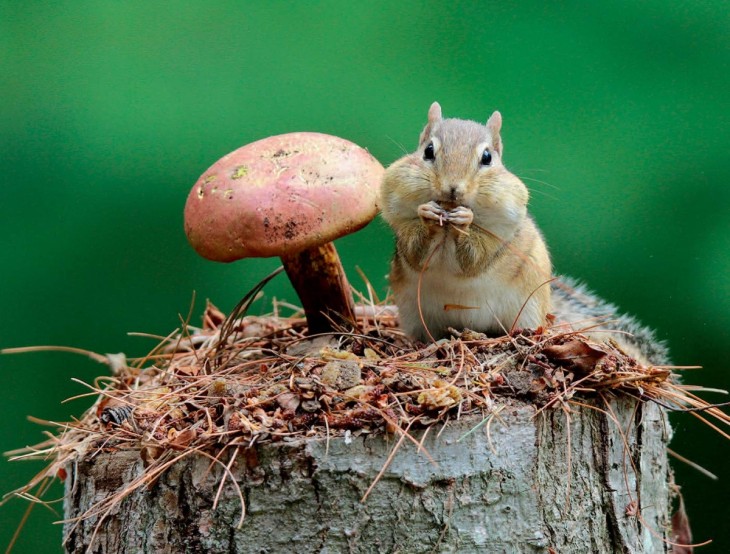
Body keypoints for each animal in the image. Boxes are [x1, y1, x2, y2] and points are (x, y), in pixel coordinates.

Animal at [380, 102, 668, 366]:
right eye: (428, 151)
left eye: (487, 157)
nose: (453, 189)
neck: (446, 229)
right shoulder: (403, 232)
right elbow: (414, 252)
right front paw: (427, 214)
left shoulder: (499, 238)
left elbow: (476, 259)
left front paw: (466, 220)